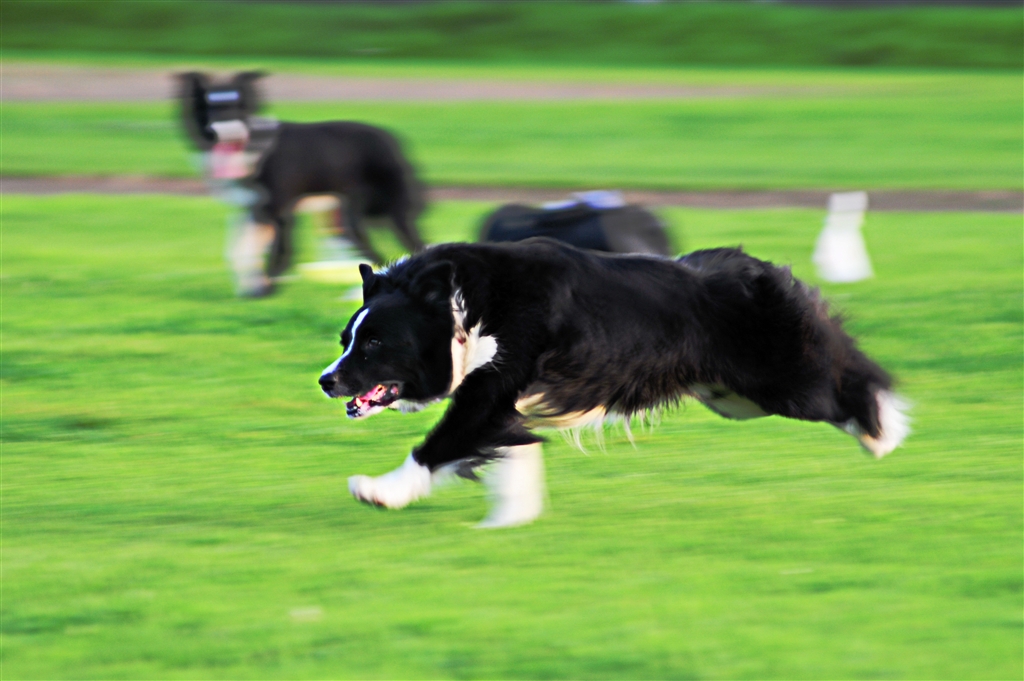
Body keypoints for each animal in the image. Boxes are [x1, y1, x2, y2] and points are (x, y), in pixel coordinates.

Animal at [315, 238, 909, 524]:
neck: (467, 307)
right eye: (346, 337)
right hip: (731, 396)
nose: (325, 380)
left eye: (374, 344)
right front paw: (512, 521)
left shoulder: (493, 386)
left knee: (849, 377)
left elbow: (440, 442)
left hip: (779, 380)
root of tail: (763, 269)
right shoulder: (503, 401)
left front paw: (379, 491)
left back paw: (886, 432)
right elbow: (513, 449)